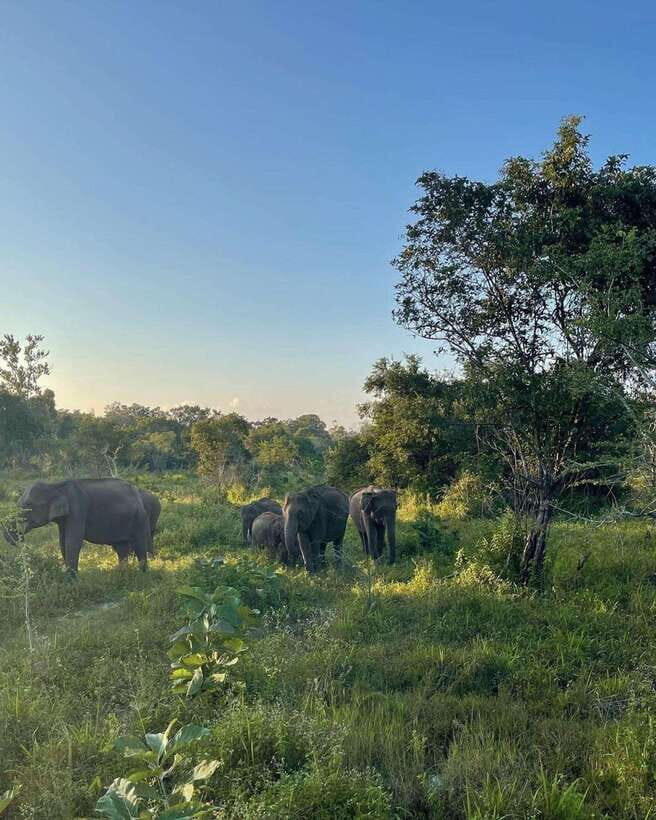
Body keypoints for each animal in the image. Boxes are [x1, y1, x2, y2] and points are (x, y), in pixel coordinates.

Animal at [3, 478, 156, 575]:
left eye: (27, 507)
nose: (17, 539)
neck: (57, 486)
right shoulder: (64, 519)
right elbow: (62, 542)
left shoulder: (78, 510)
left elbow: (72, 542)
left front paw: (71, 581)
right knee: (121, 547)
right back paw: (122, 573)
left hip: (140, 518)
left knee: (139, 544)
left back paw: (142, 574)